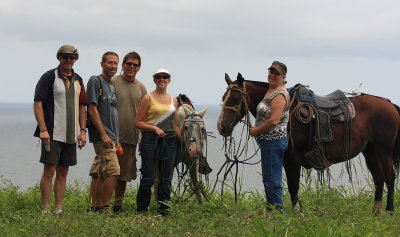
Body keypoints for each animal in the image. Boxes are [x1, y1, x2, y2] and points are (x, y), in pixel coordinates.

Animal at [219, 72, 400, 213]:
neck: (287, 112)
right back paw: (375, 211)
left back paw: (389, 210)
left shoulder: (293, 157)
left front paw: (297, 211)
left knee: (390, 178)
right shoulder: (286, 158)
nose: (222, 127)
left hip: (384, 152)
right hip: (370, 152)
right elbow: (291, 185)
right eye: (223, 98)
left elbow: (293, 185)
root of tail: (389, 104)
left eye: (235, 98)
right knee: (379, 178)